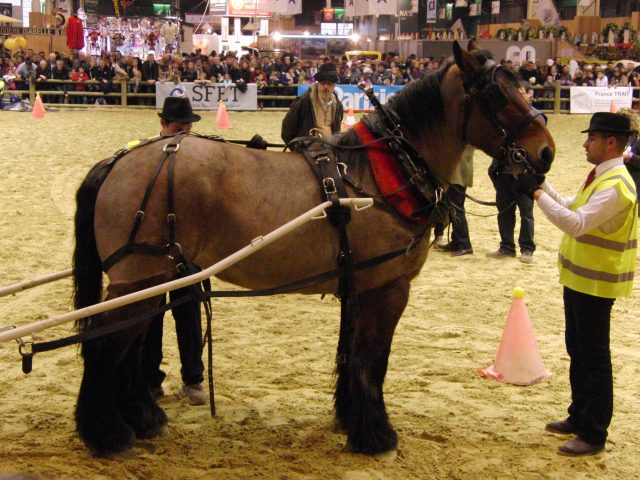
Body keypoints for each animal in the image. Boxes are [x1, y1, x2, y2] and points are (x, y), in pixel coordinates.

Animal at [72, 40, 556, 454]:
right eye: (496, 94)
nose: (546, 152)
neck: (384, 172)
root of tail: (119, 161)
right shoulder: (388, 288)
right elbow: (372, 361)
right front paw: (375, 434)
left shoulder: (357, 287)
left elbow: (351, 355)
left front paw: (349, 418)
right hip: (141, 280)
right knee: (105, 348)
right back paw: (107, 434)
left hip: (153, 280)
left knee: (129, 348)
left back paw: (142, 418)